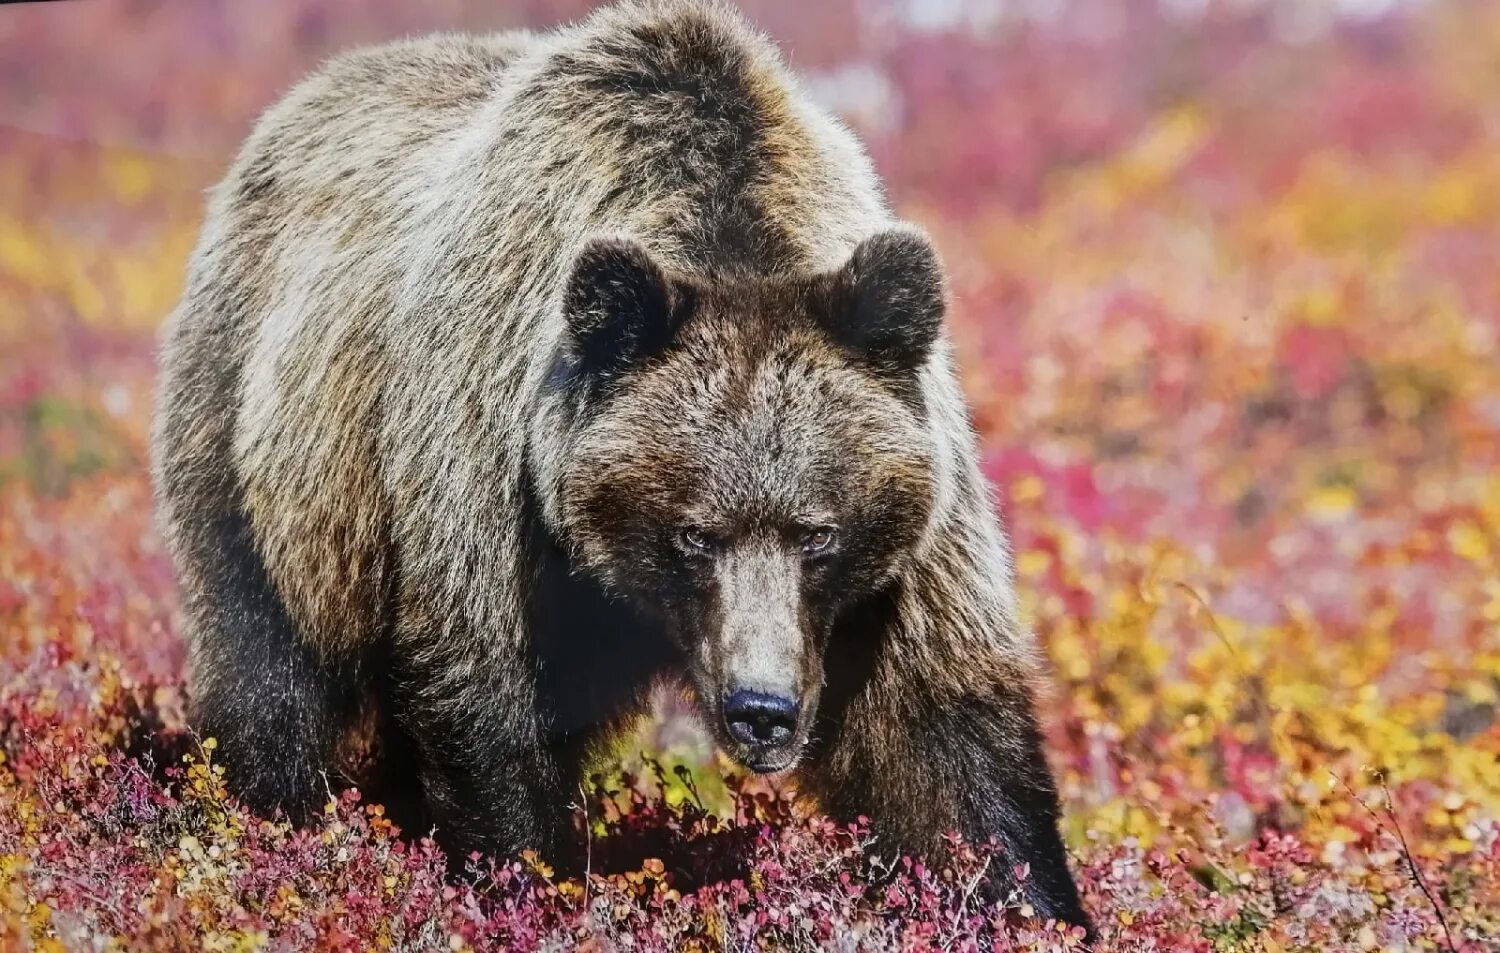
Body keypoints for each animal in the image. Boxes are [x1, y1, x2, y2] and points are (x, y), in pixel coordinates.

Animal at [149, 0, 1092, 930]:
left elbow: (936, 730)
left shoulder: (909, 541)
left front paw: (1028, 902)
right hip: (260, 442)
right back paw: (266, 820)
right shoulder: (489, 463)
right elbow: (488, 697)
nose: (762, 710)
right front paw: (530, 884)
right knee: (267, 663)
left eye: (817, 533)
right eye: (695, 533)